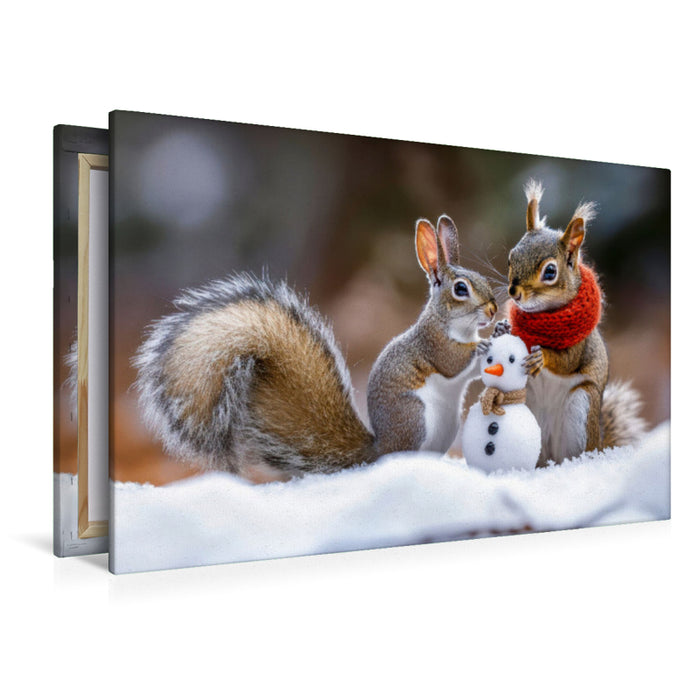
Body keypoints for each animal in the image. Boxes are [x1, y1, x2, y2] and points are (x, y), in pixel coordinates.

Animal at [133, 215, 497, 483]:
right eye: (461, 289)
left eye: (481, 278)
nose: (494, 310)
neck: (453, 324)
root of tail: (377, 453)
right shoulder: (433, 344)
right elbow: (452, 362)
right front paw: (484, 344)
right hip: (415, 418)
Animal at [506, 180, 645, 465]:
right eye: (511, 258)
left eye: (550, 271)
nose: (514, 292)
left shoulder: (579, 345)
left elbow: (567, 361)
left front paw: (542, 357)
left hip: (580, 411)